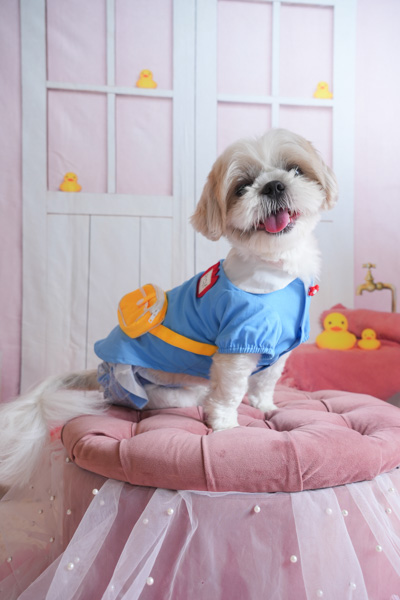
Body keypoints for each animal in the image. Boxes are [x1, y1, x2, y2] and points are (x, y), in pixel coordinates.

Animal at [0, 128, 337, 487]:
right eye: (242, 186)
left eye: (295, 170)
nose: (273, 185)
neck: (280, 270)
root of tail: (102, 369)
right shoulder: (237, 345)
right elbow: (231, 392)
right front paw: (226, 426)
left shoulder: (278, 349)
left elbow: (265, 382)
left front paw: (265, 407)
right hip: (153, 392)